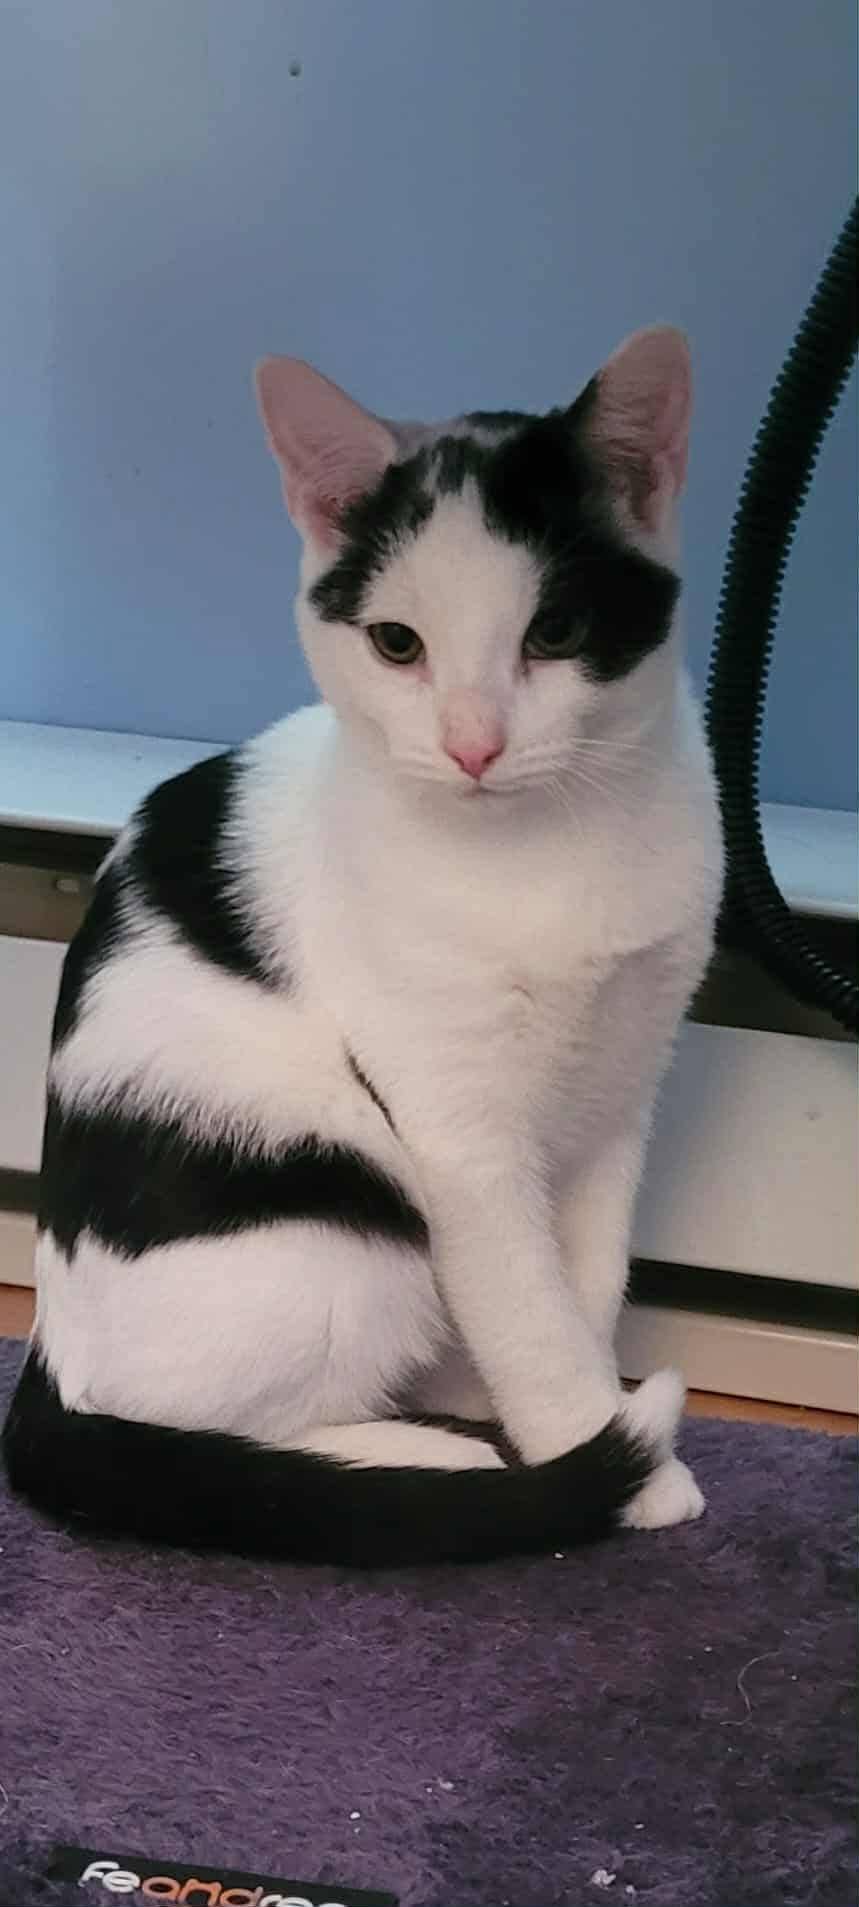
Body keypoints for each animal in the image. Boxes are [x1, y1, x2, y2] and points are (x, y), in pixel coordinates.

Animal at [3, 326, 723, 1566]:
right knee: (202, 1431)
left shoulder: (619, 1091)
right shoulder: (457, 1136)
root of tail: (50, 1350)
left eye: (556, 632)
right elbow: (524, 1303)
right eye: (397, 643)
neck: (548, 844)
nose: (474, 743)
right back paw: (416, 1456)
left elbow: (577, 1282)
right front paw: (605, 1459)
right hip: (343, 1205)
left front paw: (587, 1413)